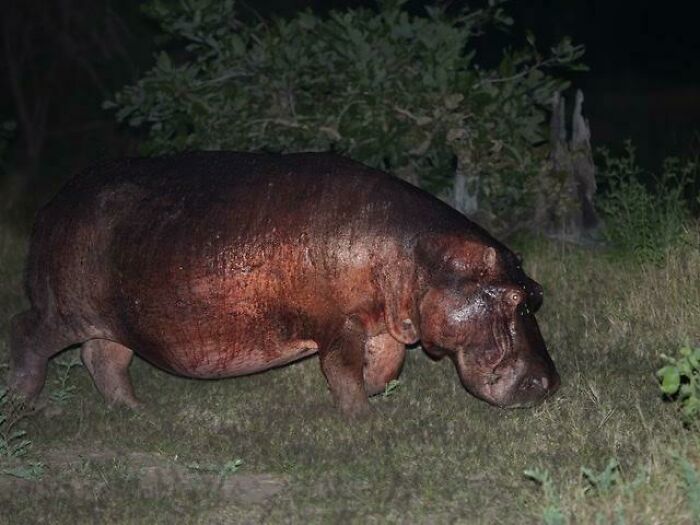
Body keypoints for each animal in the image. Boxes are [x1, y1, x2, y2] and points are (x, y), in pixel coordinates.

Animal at [8, 152, 559, 417]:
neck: (419, 255)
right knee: (28, 334)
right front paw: (362, 419)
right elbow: (341, 370)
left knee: (103, 359)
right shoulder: (340, 325)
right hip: (61, 311)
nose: (550, 384)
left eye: (536, 293)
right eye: (514, 298)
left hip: (117, 321)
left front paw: (374, 394)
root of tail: (52, 205)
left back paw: (136, 411)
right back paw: (24, 403)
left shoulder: (382, 322)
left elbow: (387, 367)